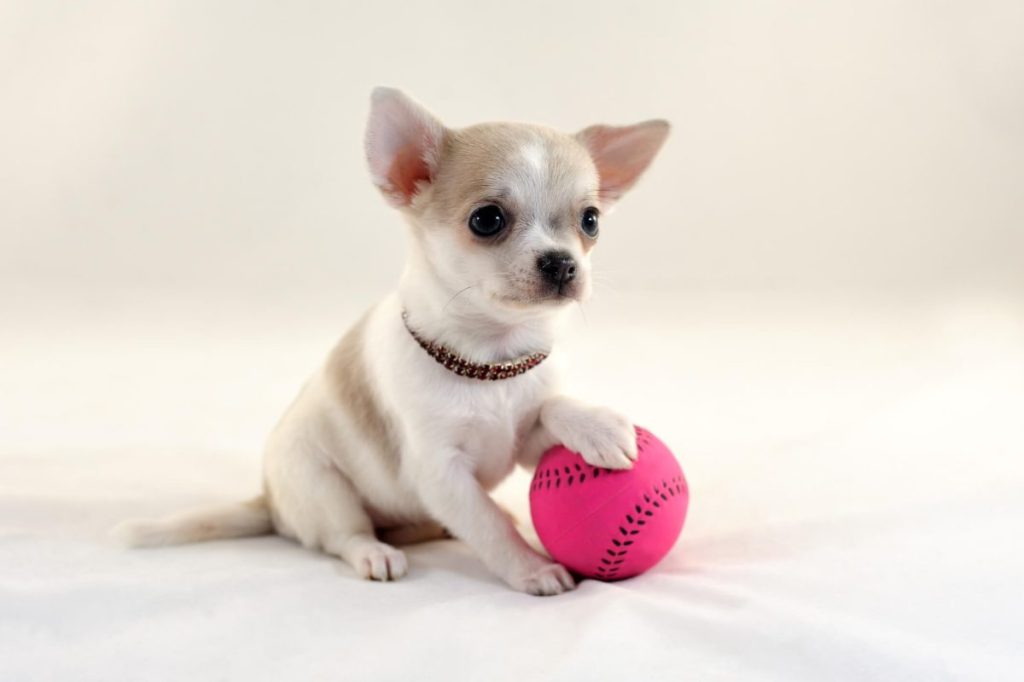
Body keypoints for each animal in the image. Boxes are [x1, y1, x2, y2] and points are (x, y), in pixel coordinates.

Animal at [114, 87, 671, 593]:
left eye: (590, 221)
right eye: (487, 220)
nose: (562, 262)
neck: (490, 361)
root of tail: (270, 502)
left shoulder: (520, 445)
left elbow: (550, 406)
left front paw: (598, 426)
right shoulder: (441, 473)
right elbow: (487, 526)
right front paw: (532, 568)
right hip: (323, 486)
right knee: (346, 535)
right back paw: (374, 553)